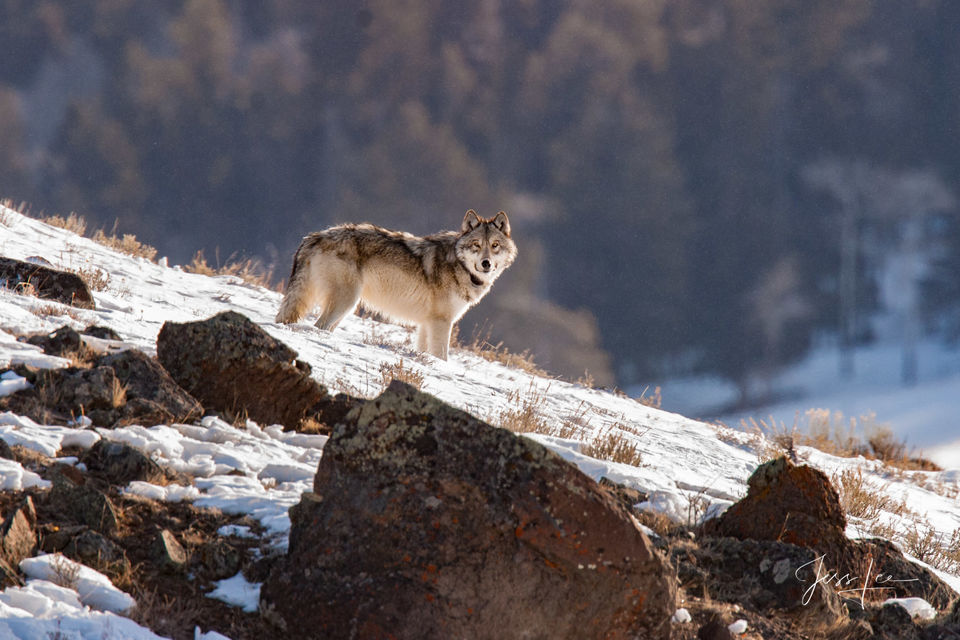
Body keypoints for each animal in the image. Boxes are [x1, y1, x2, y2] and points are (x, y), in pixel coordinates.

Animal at [276, 210, 516, 360]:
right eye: (477, 245)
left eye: (495, 245)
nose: (486, 264)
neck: (459, 266)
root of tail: (314, 236)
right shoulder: (442, 322)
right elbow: (442, 357)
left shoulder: (427, 323)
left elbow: (425, 352)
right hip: (345, 303)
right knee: (318, 326)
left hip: (346, 308)